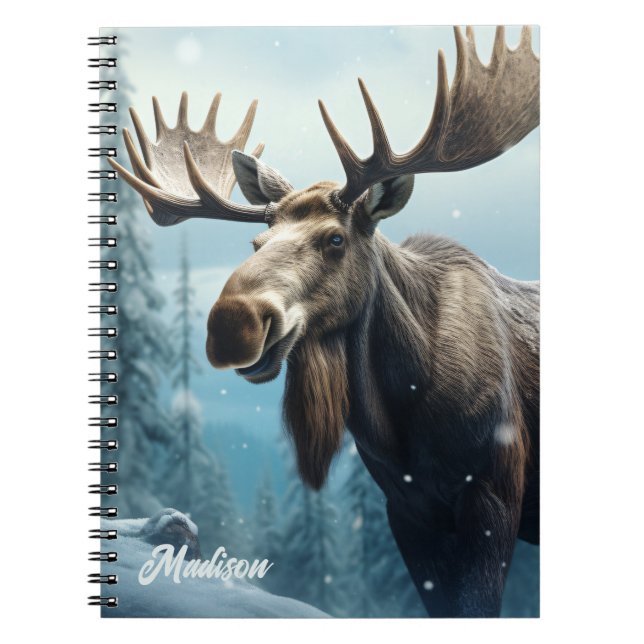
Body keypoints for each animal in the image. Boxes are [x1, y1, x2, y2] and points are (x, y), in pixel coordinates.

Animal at [109, 26, 540, 617]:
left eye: (335, 239)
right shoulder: (407, 509)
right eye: (257, 242)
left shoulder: (493, 493)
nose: (231, 325)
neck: (405, 408)